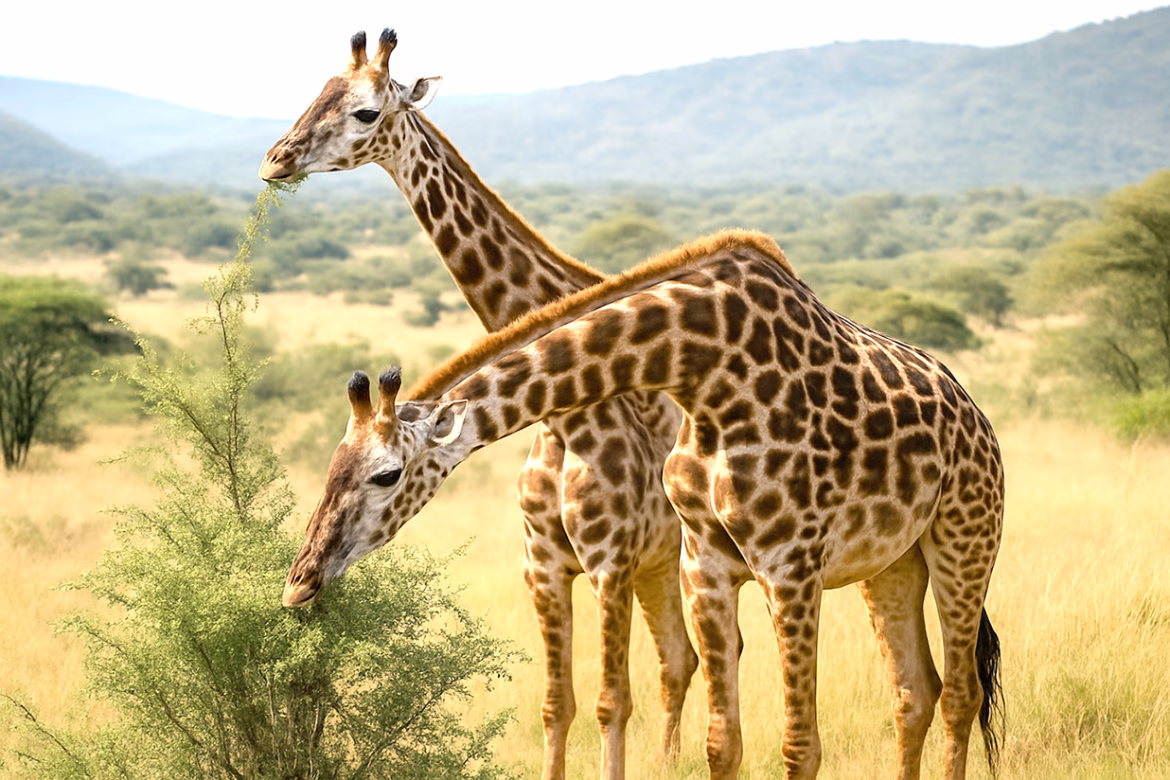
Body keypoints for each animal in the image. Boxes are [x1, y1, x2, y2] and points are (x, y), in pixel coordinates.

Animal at [259, 29, 697, 780]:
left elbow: (610, 705)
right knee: (681, 661)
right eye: (316, 92)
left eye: (367, 111)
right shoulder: (544, 562)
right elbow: (558, 707)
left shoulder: (608, 560)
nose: (274, 160)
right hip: (661, 562)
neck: (566, 419)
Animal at [282, 230, 1005, 780]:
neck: (703, 371)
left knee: (961, 693)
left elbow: (800, 749)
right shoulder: (704, 566)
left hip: (963, 544)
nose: (298, 583)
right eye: (330, 468)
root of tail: (976, 414)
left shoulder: (790, 567)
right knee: (915, 693)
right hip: (891, 564)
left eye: (386, 475)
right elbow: (722, 744)